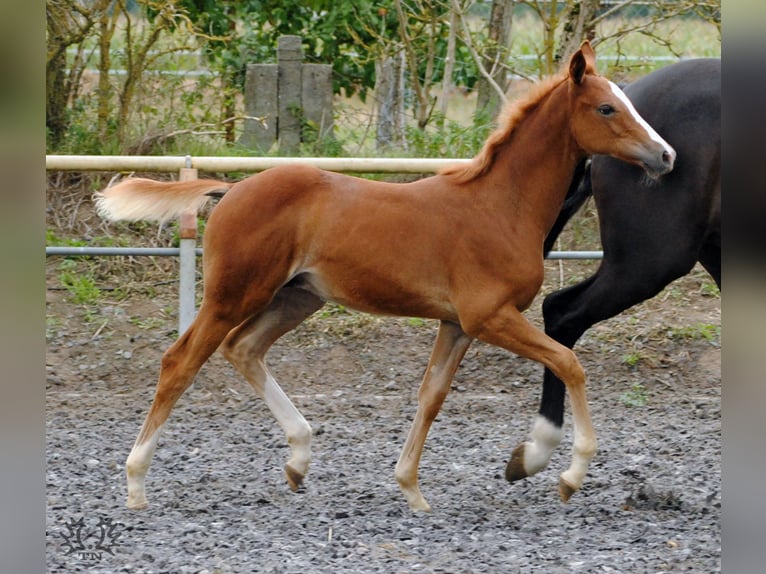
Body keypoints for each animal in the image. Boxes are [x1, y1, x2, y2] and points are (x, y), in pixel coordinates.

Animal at [94, 42, 675, 512]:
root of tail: (231, 189)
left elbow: (431, 395)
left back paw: (298, 458)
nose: (666, 155)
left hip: (296, 298)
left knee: (244, 349)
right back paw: (136, 483)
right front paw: (567, 473)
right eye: (606, 107)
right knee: (180, 362)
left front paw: (411, 489)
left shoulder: (457, 324)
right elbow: (569, 363)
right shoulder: (489, 317)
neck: (499, 206)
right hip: (233, 294)